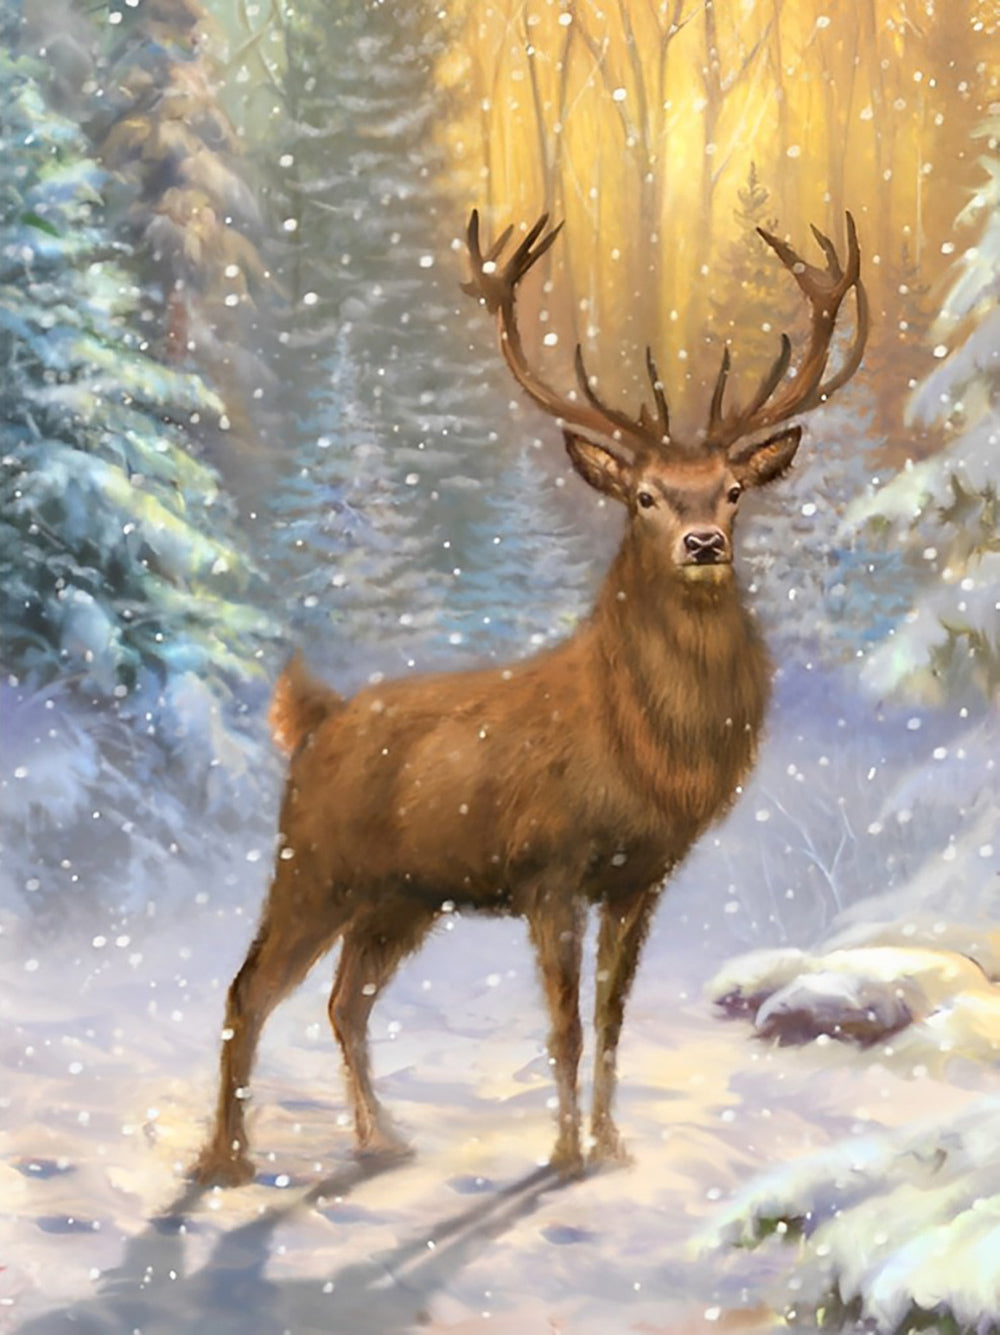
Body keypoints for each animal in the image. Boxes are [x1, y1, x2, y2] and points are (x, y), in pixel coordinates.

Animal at [194, 210, 868, 1188]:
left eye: (735, 490)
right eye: (645, 495)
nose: (704, 542)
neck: (640, 748)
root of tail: (316, 719)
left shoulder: (639, 878)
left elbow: (615, 1021)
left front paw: (614, 1143)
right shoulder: (547, 867)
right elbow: (565, 1024)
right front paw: (564, 1151)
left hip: (402, 897)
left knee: (344, 999)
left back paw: (380, 1135)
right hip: (312, 862)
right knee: (249, 988)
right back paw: (226, 1158)